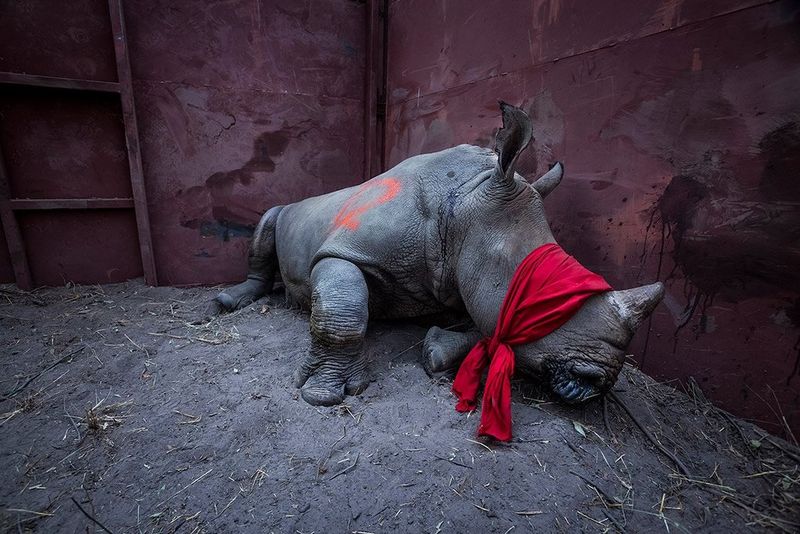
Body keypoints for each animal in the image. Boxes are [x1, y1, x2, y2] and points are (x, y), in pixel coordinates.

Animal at [208, 103, 664, 408]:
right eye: (543, 294)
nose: (597, 380)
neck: (466, 203)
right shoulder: (345, 252)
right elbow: (344, 313)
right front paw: (322, 392)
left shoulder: (466, 273)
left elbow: (485, 326)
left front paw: (435, 352)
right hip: (288, 209)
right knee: (269, 219)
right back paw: (229, 302)